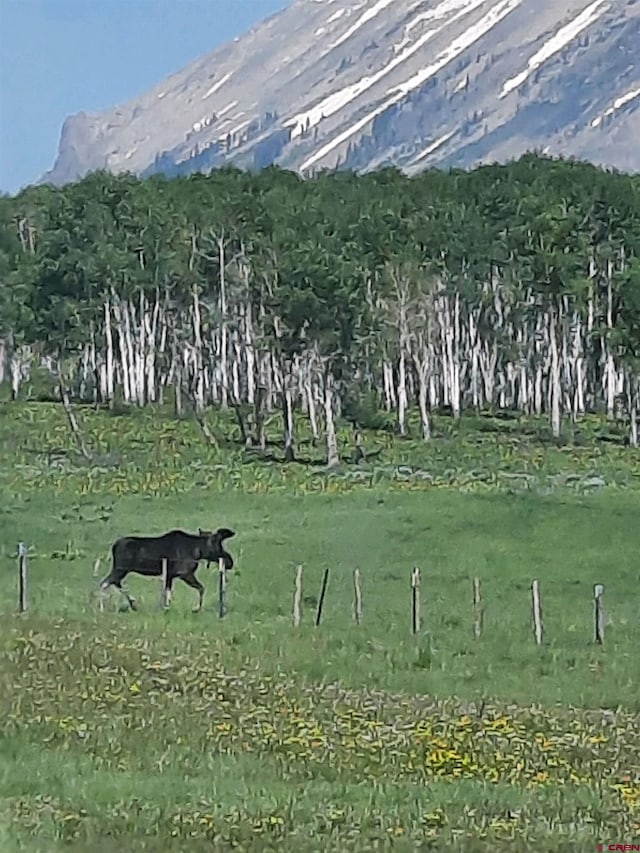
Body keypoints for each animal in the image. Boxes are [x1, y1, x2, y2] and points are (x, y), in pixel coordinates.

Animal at [101, 524, 236, 612]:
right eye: (219, 544)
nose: (230, 561)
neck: (198, 550)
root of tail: (114, 546)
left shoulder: (170, 576)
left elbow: (168, 593)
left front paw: (166, 608)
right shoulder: (184, 573)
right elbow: (201, 588)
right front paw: (196, 608)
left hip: (121, 570)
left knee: (115, 583)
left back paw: (133, 603)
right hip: (120, 569)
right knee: (105, 583)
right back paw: (103, 608)